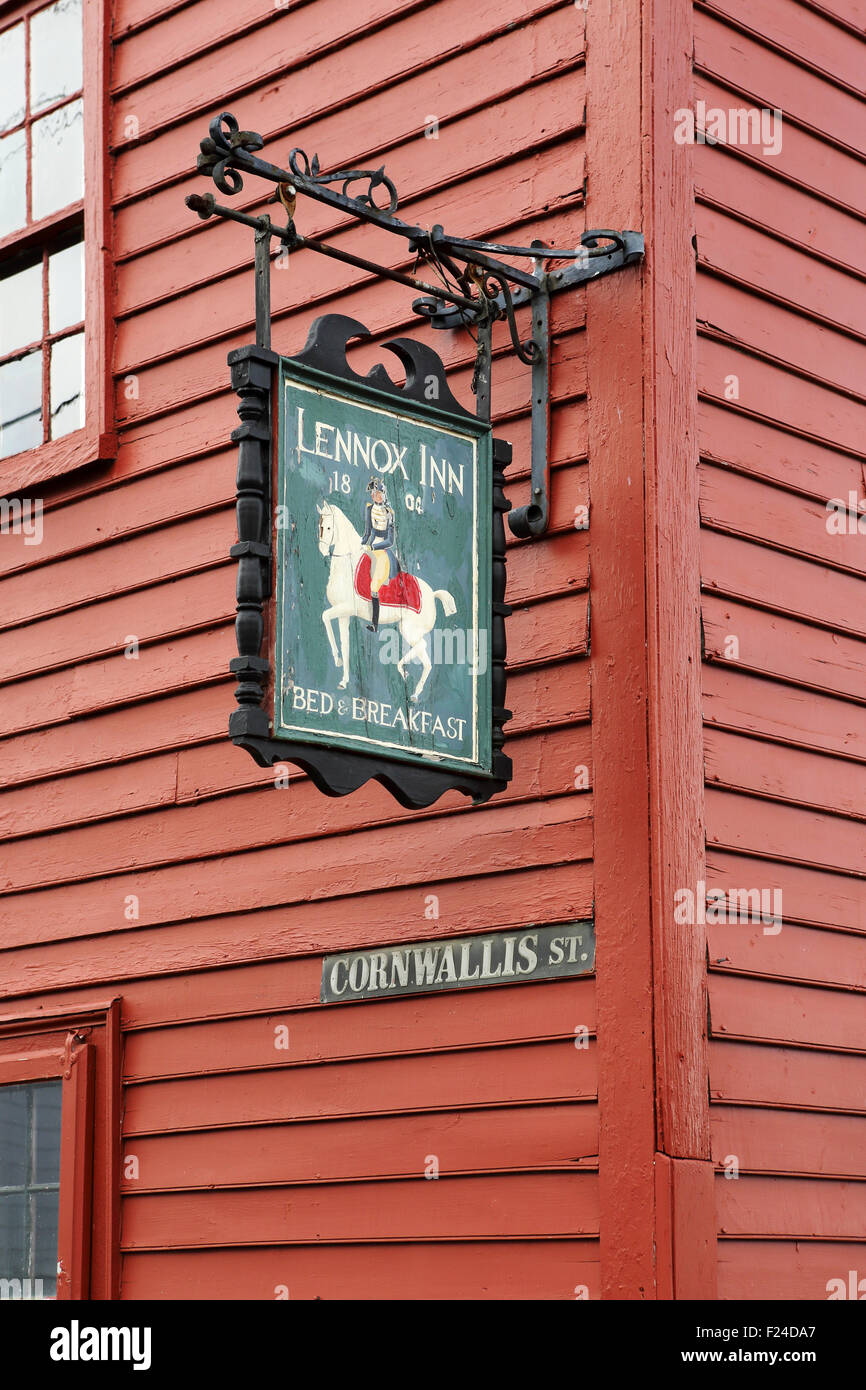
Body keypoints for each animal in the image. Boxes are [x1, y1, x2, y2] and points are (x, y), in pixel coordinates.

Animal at [315, 500, 458, 700]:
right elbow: (344, 643)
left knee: (423, 650)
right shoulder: (343, 614)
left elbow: (324, 616)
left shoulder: (345, 608)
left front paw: (336, 660)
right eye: (319, 526)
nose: (322, 550)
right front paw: (343, 677)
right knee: (425, 658)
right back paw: (411, 687)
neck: (348, 564)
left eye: (328, 527)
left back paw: (406, 677)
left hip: (409, 629)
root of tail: (431, 594)